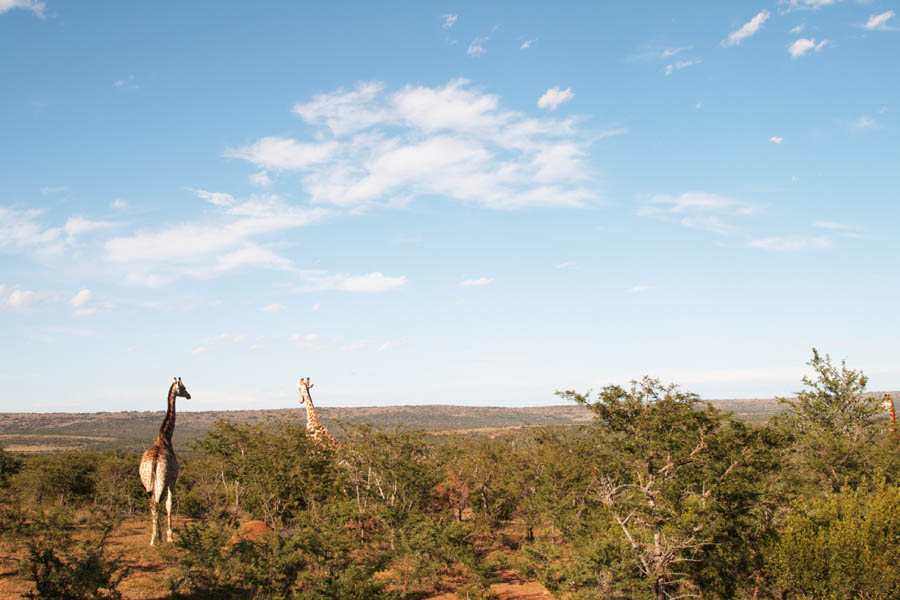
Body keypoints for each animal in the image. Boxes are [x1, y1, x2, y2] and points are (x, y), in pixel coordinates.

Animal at [139, 378, 190, 548]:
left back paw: (153, 538)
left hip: (147, 481)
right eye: (183, 387)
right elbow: (169, 504)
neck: (165, 437)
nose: (189, 395)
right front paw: (169, 536)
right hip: (161, 480)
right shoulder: (173, 479)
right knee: (156, 502)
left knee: (152, 503)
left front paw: (162, 535)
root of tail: (154, 460)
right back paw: (157, 538)